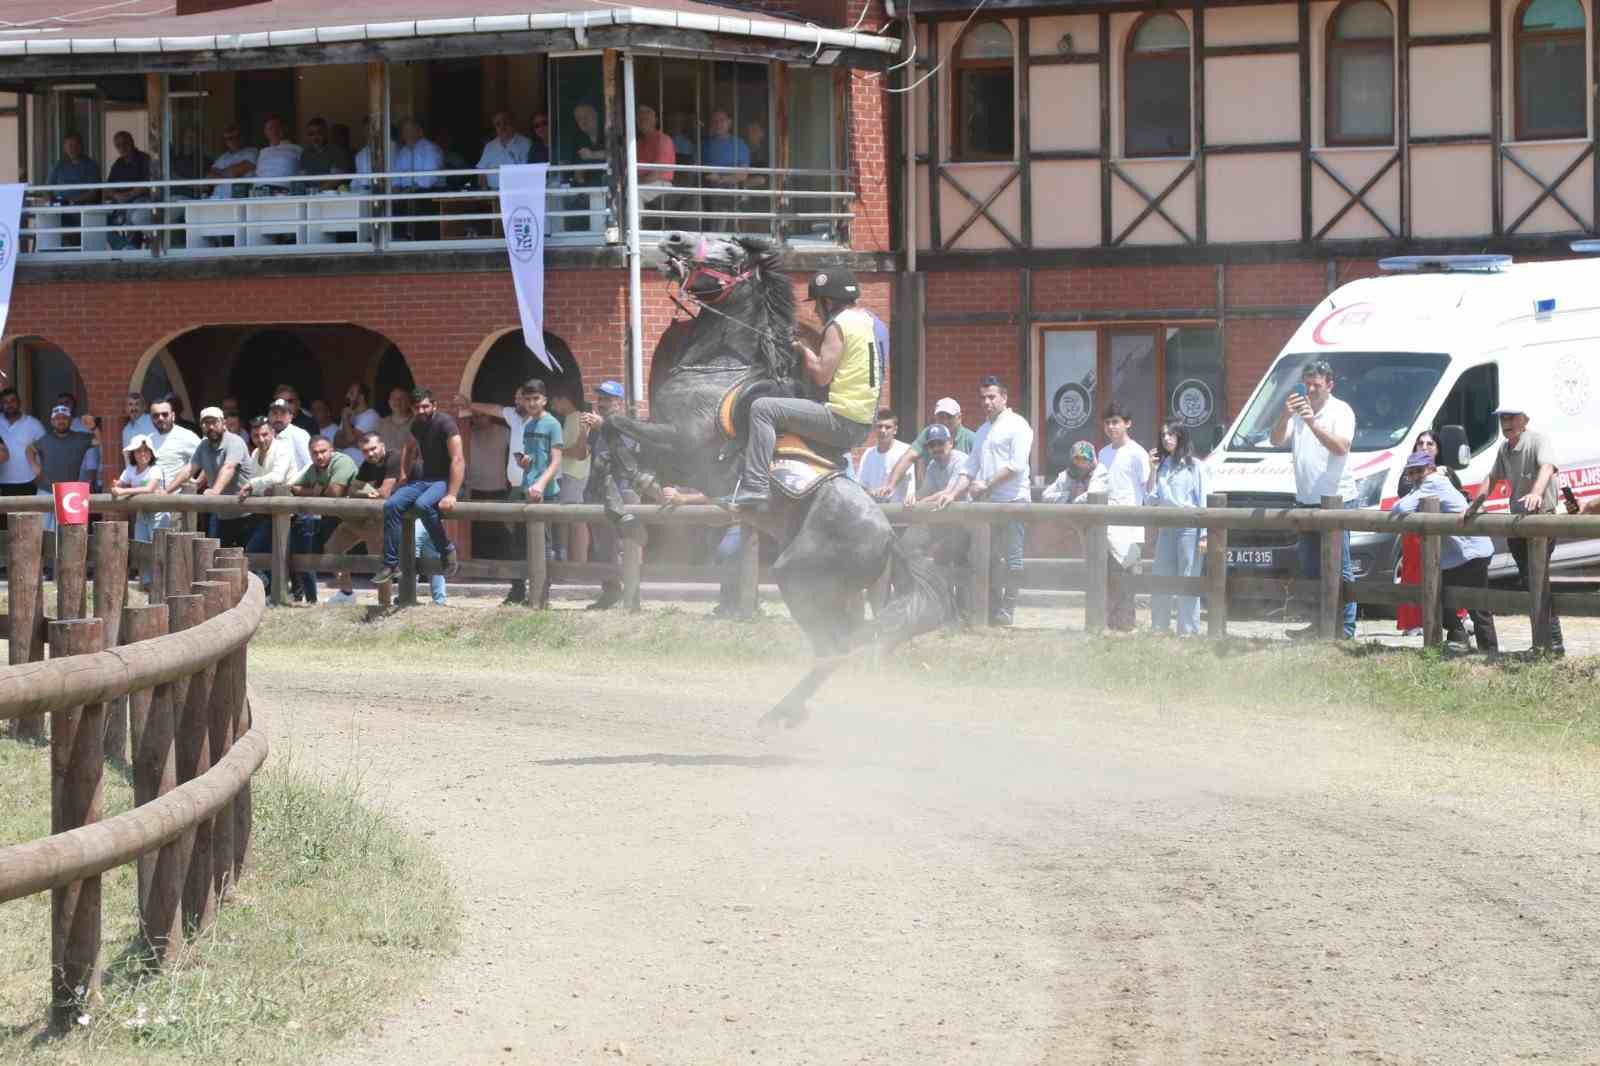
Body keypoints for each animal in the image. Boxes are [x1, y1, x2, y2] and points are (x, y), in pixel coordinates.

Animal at [601, 232, 947, 726]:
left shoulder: (680, 441)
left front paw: (621, 496)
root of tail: (889, 538)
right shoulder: (669, 452)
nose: (673, 238)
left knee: (836, 645)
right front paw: (631, 491)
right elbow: (622, 449)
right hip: (836, 591)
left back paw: (782, 713)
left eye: (729, 249)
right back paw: (789, 710)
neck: (720, 367)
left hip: (800, 578)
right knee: (847, 642)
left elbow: (613, 425)